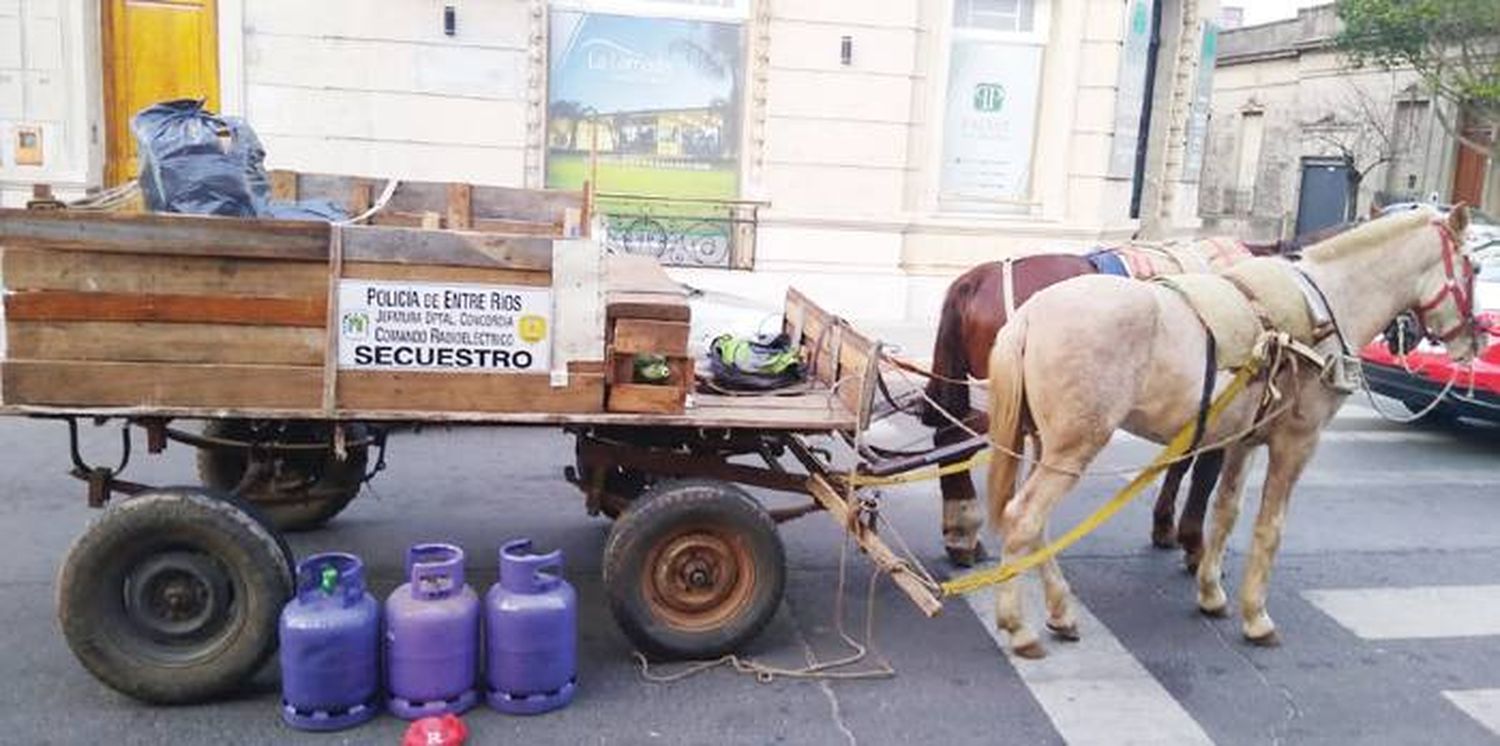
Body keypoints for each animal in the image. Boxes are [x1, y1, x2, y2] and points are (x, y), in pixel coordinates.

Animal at [924, 231, 1338, 564]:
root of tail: (977, 278)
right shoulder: (1227, 408)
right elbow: (1202, 473)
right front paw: (1192, 542)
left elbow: (1180, 461)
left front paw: (1165, 526)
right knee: (955, 441)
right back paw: (964, 533)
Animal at [984, 205, 1476, 657]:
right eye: (1475, 267)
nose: (1475, 340)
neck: (1323, 306)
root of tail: (1030, 314)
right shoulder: (1296, 443)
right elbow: (1269, 528)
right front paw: (1255, 615)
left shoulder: (1244, 442)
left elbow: (1226, 512)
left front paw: (1211, 591)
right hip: (1074, 448)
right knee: (1023, 519)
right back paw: (1018, 626)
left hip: (1049, 446)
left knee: (1036, 525)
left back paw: (1060, 610)